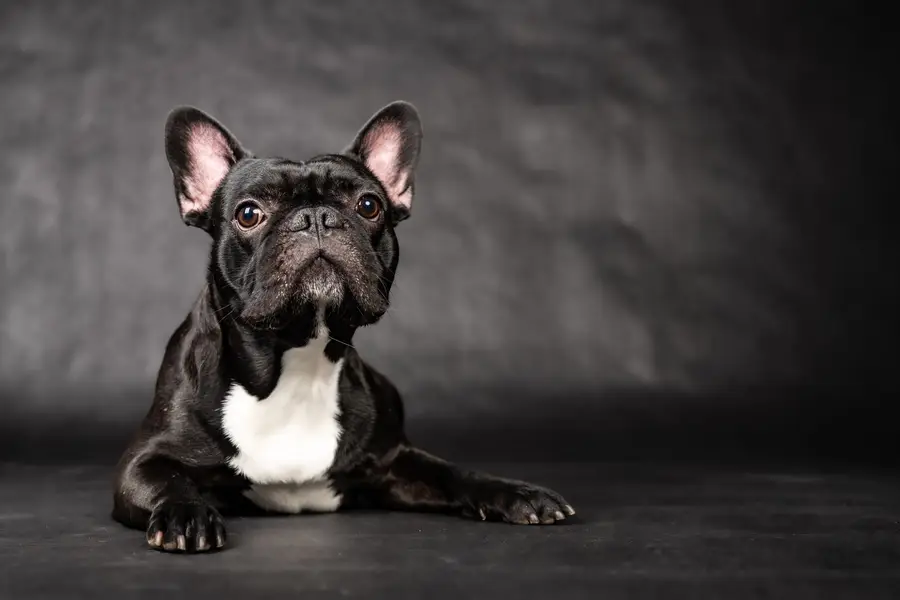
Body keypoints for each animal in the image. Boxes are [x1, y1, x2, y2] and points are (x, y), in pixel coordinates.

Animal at [112, 99, 572, 552]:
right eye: (248, 213)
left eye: (369, 205)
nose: (316, 216)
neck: (298, 362)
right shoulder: (141, 463)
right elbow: (168, 481)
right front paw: (186, 514)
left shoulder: (397, 462)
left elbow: (454, 473)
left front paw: (517, 492)